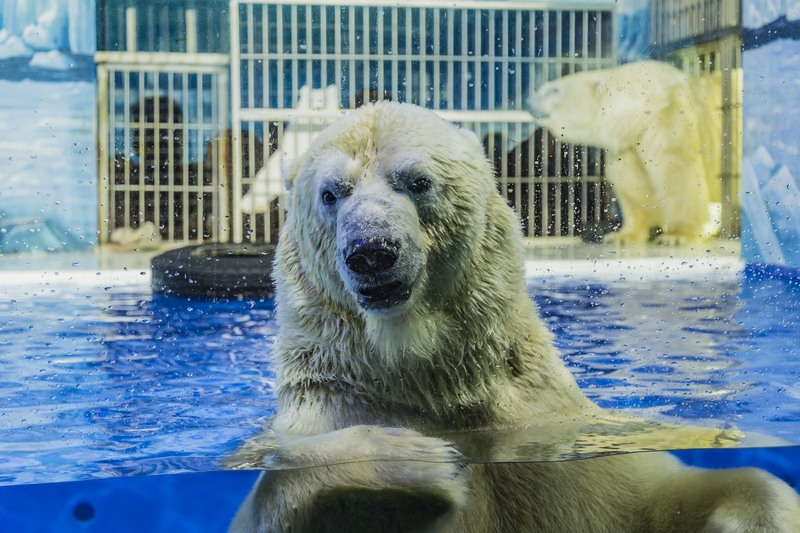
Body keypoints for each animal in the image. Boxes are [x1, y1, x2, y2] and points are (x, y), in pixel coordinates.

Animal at [230, 102, 800, 528]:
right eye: (332, 193)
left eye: (417, 181)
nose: (372, 250)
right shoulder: (326, 404)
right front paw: (416, 460)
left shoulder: (557, 428)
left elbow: (678, 489)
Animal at [524, 60, 720, 245]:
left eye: (554, 90)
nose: (529, 103)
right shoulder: (628, 143)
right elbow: (631, 184)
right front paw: (623, 235)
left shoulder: (669, 116)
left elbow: (676, 171)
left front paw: (676, 235)